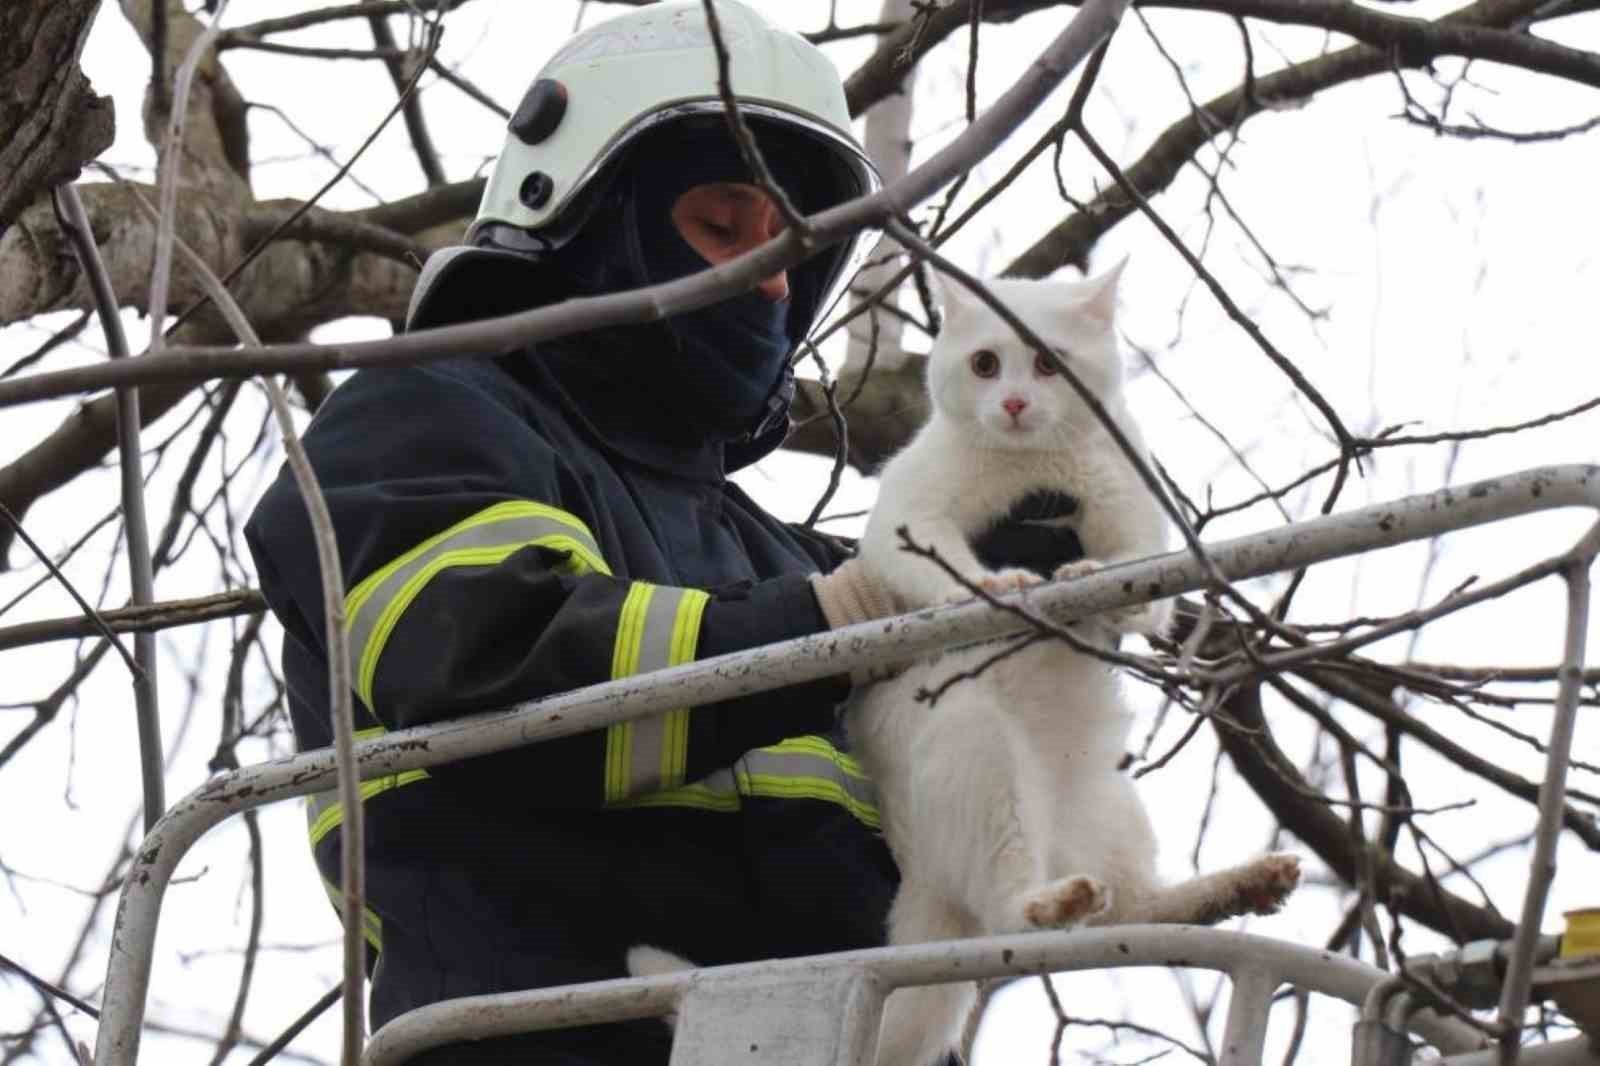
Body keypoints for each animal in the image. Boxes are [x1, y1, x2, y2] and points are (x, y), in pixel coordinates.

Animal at [851, 265, 1299, 1062]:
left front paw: (1094, 579)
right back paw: (1052, 899)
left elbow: (1140, 582)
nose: (1015, 403)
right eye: (986, 364)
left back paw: (1242, 885)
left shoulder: (1138, 516)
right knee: (1008, 912)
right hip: (975, 751)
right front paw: (994, 585)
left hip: (1114, 806)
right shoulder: (906, 516)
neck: (1035, 468)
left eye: (1048, 362)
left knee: (1137, 913)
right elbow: (935, 562)